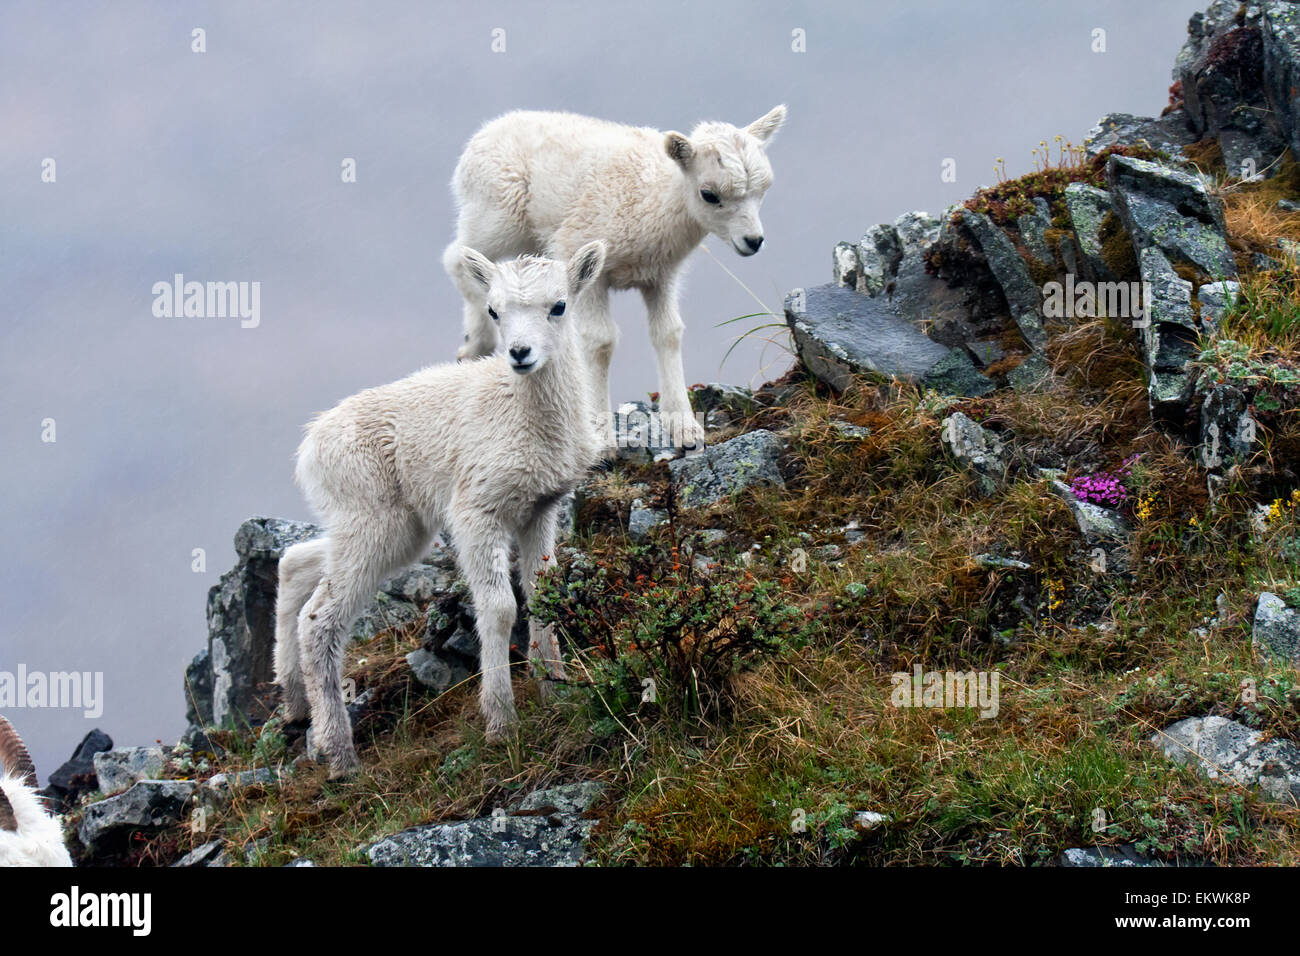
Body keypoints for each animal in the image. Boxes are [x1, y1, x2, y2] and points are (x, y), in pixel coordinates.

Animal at [271, 243, 605, 780]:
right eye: (494, 310)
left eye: (559, 306)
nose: (520, 354)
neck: (526, 418)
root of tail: (309, 449)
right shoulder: (476, 515)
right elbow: (499, 608)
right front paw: (501, 723)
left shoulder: (540, 511)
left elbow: (542, 595)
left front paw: (557, 691)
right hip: (375, 527)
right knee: (319, 618)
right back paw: (340, 756)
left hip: (395, 530)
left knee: (295, 563)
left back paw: (296, 708)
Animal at [441, 106, 785, 457]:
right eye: (709, 195)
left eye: (762, 190)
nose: (753, 241)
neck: (656, 198)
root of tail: (487, 131)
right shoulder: (588, 271)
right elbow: (600, 342)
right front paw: (602, 438)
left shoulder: (660, 278)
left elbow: (668, 334)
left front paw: (685, 430)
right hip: (496, 220)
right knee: (458, 260)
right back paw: (475, 344)